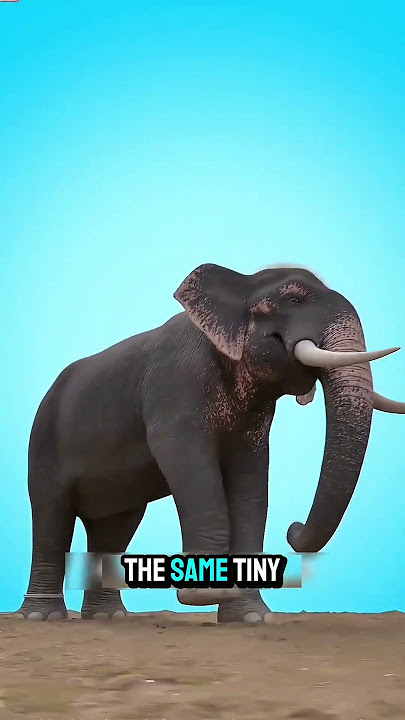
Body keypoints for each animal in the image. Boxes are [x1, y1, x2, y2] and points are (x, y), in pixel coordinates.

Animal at [16, 262, 404, 623]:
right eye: (293, 299)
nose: (293, 530)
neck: (240, 282)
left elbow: (250, 478)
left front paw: (251, 618)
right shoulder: (176, 385)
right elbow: (189, 463)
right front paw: (205, 595)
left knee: (116, 526)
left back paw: (108, 617)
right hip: (44, 438)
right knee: (52, 515)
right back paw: (42, 617)